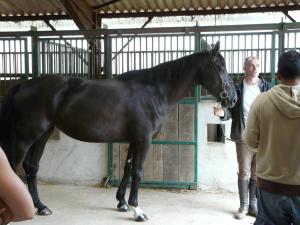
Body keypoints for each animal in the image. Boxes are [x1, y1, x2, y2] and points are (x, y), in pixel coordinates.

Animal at [0, 41, 237, 221]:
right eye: (220, 66)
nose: (233, 99)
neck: (153, 92)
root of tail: (22, 86)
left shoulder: (134, 139)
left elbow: (128, 167)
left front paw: (122, 203)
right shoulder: (143, 140)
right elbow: (138, 172)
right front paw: (137, 210)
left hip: (43, 135)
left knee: (31, 167)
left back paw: (40, 206)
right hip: (25, 137)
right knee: (12, 167)